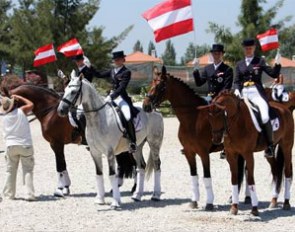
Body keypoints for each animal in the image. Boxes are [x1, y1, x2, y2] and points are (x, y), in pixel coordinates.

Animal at [6, 84, 136, 197]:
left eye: (12, 103)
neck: (51, 111)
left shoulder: (56, 143)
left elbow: (59, 165)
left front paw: (60, 189)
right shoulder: (57, 144)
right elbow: (63, 164)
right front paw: (66, 187)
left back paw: (134, 188)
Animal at [57, 73, 164, 208]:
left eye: (73, 91)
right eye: (65, 90)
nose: (60, 110)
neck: (98, 118)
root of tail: (154, 109)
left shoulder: (110, 153)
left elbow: (112, 175)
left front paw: (116, 201)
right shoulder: (95, 152)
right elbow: (99, 174)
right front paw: (100, 199)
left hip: (154, 143)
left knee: (157, 166)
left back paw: (156, 195)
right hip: (137, 147)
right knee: (141, 167)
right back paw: (137, 195)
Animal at [143, 65, 224, 210]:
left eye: (160, 86)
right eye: (152, 83)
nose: (145, 105)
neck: (194, 118)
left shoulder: (204, 153)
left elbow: (206, 176)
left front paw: (209, 203)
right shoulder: (189, 152)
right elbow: (194, 175)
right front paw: (194, 201)